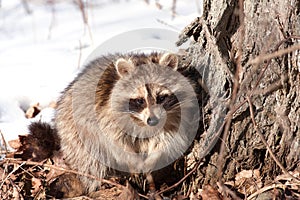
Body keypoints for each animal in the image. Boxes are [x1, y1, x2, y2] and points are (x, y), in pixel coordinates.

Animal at [55, 52, 200, 193]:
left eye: (161, 98)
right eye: (140, 100)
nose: (153, 121)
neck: (142, 123)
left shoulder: (176, 119)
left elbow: (167, 140)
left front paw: (153, 159)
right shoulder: (106, 116)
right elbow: (115, 142)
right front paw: (133, 162)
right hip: (75, 134)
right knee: (91, 161)